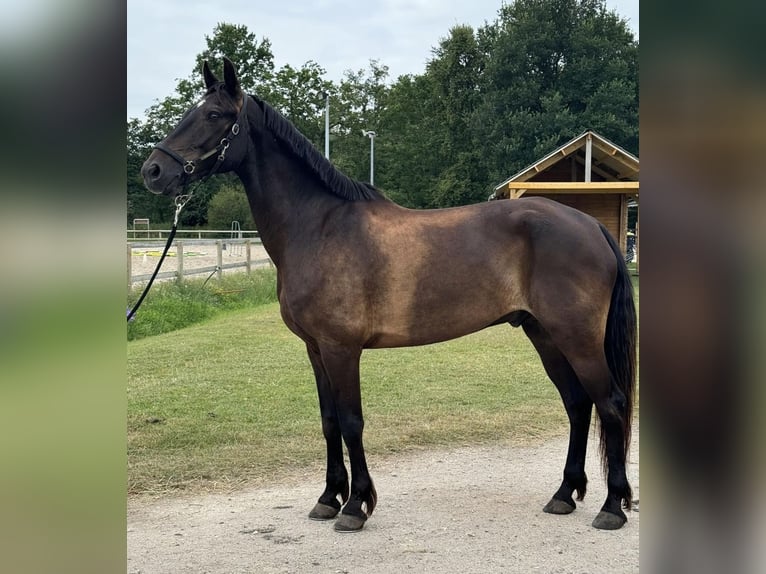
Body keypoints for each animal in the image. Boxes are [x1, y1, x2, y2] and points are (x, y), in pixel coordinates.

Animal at [141, 58, 640, 536]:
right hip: (544, 334)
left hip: (576, 338)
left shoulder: (342, 349)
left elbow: (351, 422)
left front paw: (355, 507)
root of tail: (590, 224)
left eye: (214, 115)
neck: (318, 226)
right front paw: (328, 499)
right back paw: (564, 494)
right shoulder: (315, 349)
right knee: (577, 404)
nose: (153, 171)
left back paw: (612, 507)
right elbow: (328, 422)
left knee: (610, 404)